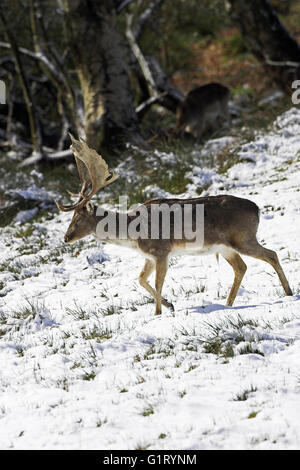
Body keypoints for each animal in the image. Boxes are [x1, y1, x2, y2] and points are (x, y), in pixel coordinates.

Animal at [56, 134, 292, 314]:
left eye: (78, 218)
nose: (66, 238)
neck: (133, 234)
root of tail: (257, 209)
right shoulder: (149, 256)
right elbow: (140, 279)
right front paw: (170, 305)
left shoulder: (161, 250)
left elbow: (158, 282)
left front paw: (158, 313)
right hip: (226, 247)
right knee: (242, 267)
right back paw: (228, 304)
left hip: (242, 237)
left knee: (271, 254)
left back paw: (288, 293)